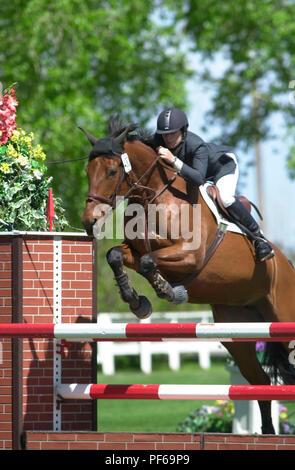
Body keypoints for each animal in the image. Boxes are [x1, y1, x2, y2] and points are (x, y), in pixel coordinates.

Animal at [80, 119, 295, 436]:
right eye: (87, 171)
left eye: (111, 171)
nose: (89, 221)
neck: (154, 197)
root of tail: (285, 263)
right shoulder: (135, 250)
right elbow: (116, 256)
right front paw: (137, 302)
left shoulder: (189, 255)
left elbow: (149, 263)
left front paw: (170, 292)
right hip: (236, 333)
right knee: (261, 382)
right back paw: (267, 434)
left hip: (282, 316)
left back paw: (262, 247)